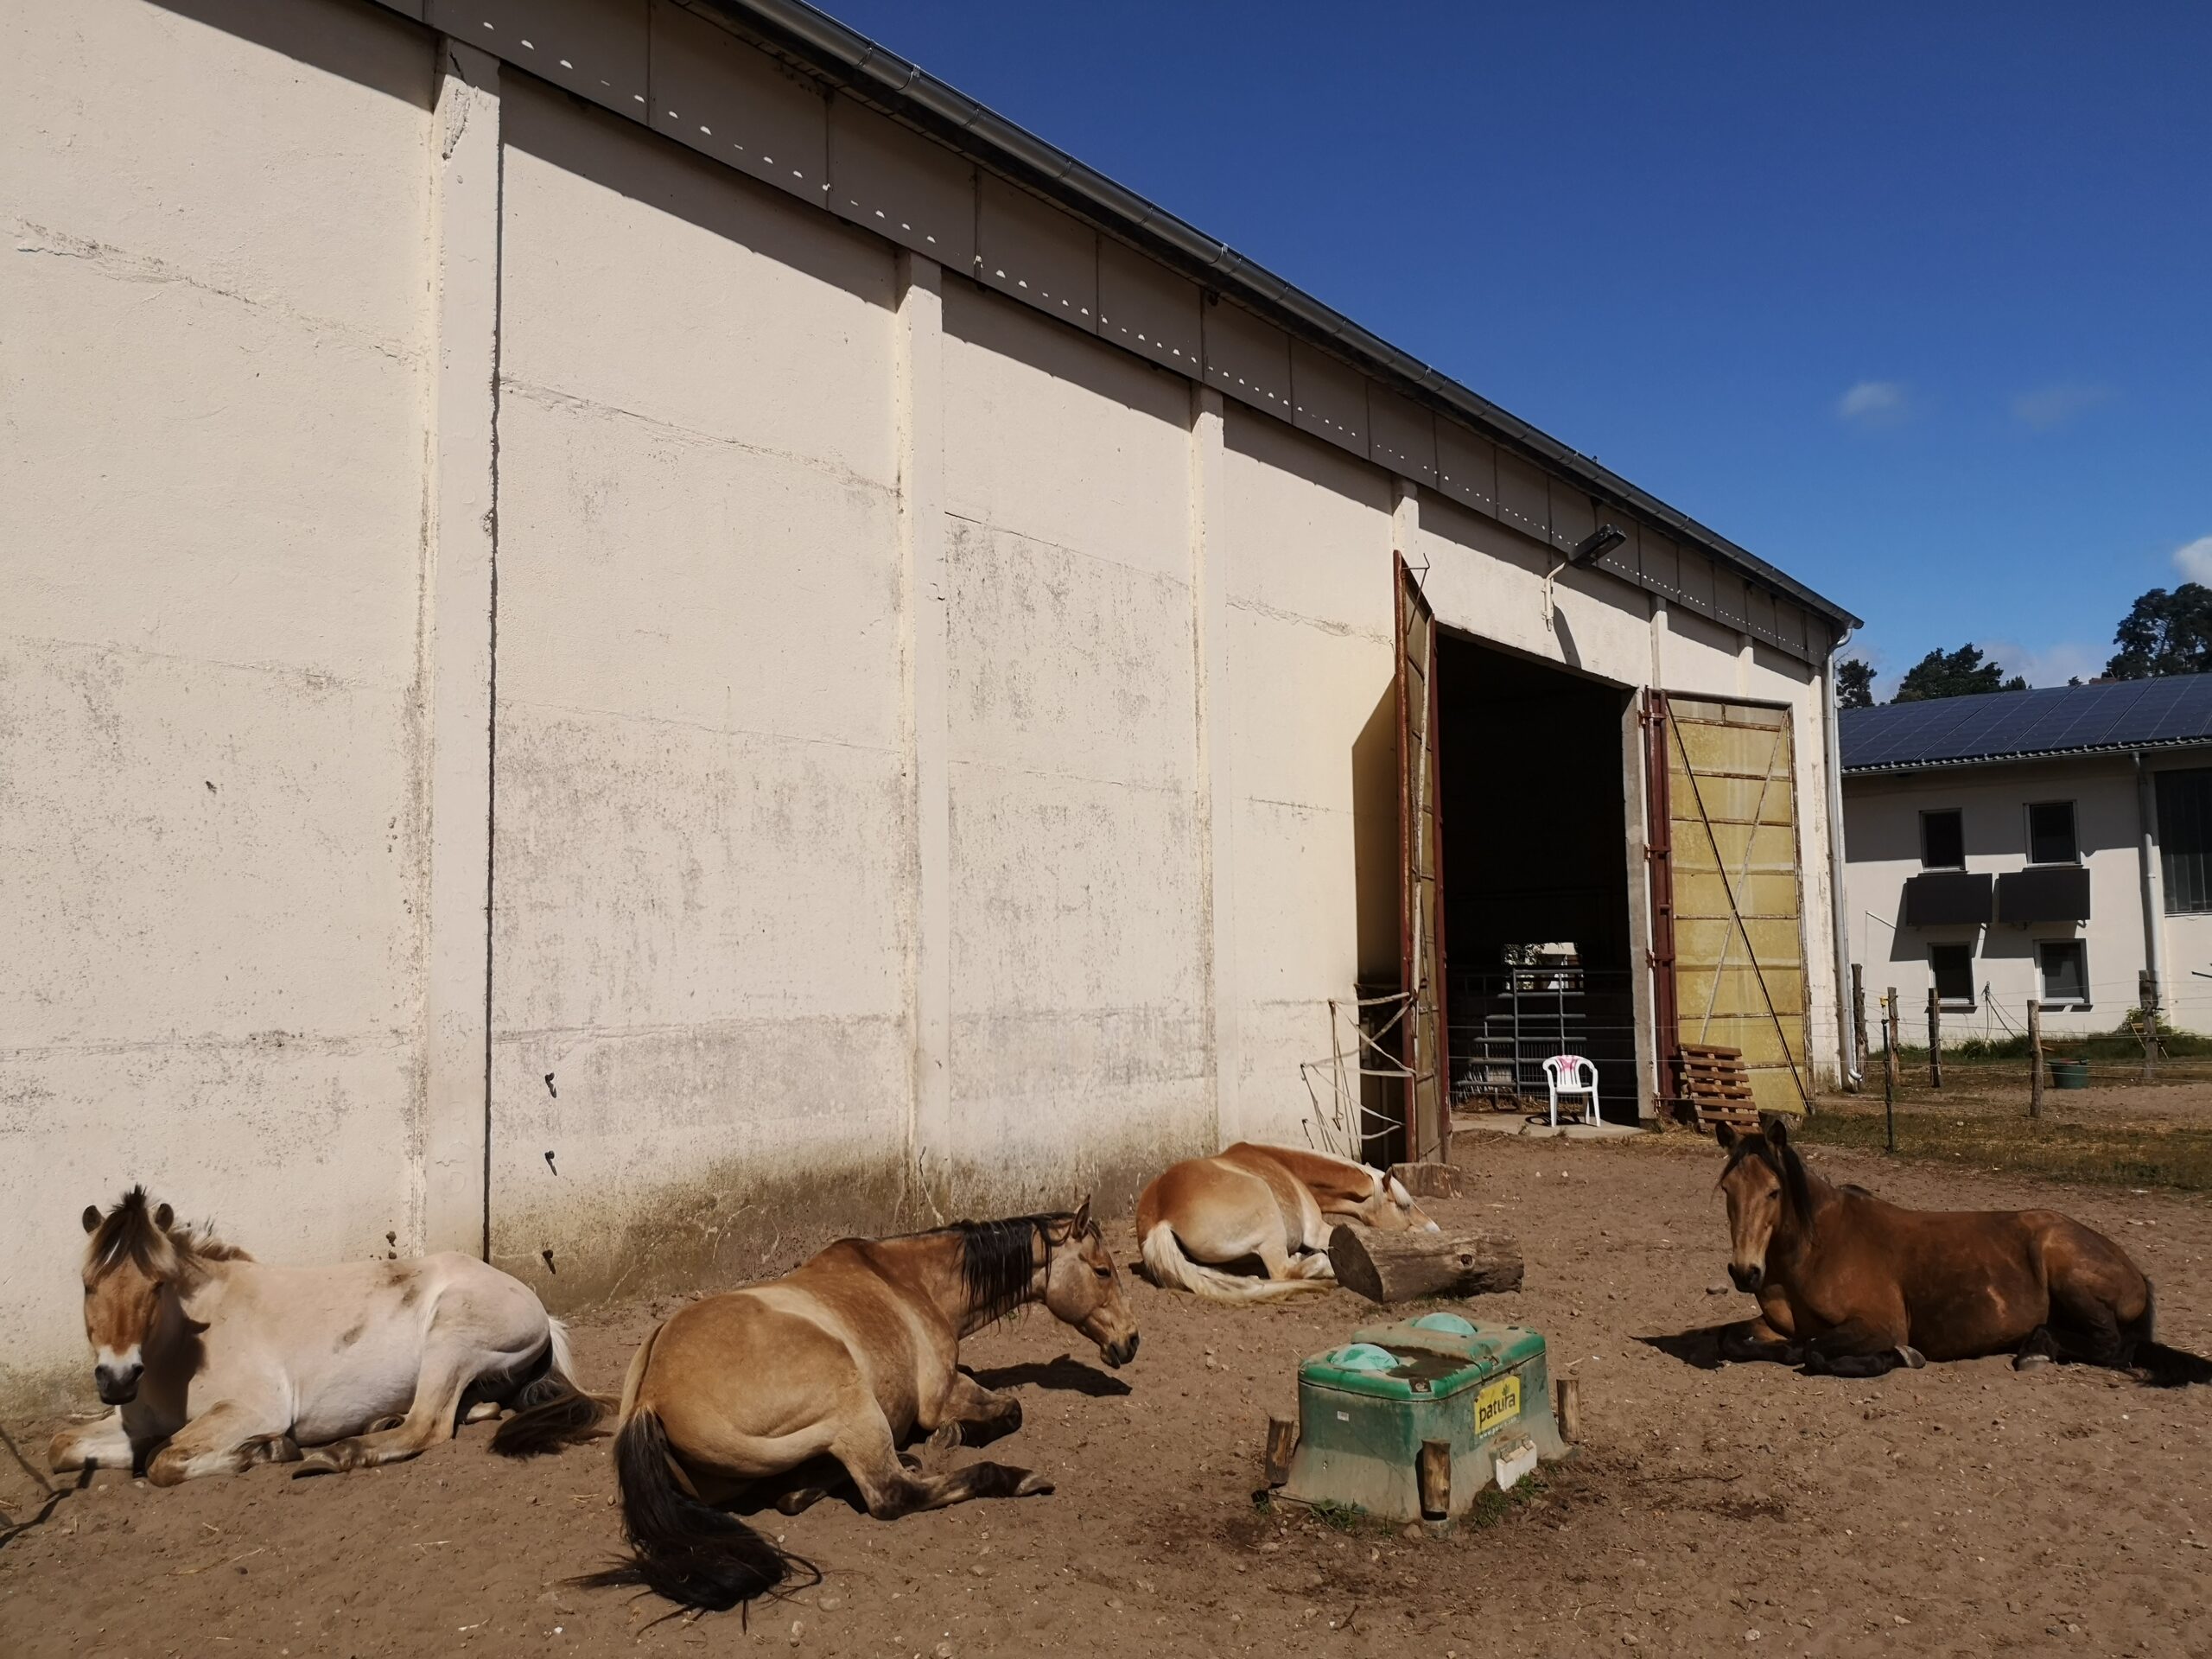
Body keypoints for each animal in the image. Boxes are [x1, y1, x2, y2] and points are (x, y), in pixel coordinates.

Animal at [49, 1187, 601, 1484]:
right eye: (87, 1283)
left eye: (157, 1285)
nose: (117, 1380)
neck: (185, 1348)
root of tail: (538, 1308)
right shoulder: (135, 1421)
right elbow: (63, 1446)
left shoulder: (252, 1410)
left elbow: (164, 1460)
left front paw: (264, 1451)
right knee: (470, 1408)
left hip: (451, 1339)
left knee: (427, 1425)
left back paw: (337, 1454)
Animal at [495, 1198, 1139, 1614]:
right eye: (1103, 1270)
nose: (1130, 1343)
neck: (913, 1282)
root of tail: (650, 1402)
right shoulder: (939, 1396)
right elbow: (1007, 1411)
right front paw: (951, 1438)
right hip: (852, 1402)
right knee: (889, 1494)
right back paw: (1008, 1476)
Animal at [1134, 1141, 1437, 1302]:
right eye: (1403, 1205)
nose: (1434, 1229)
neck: (1289, 1169)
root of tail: (1161, 1215)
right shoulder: (1317, 1231)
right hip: (1269, 1225)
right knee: (1284, 1271)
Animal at [1713, 1118, 2211, 1383]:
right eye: (1726, 1189)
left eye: (1774, 1192)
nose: (1744, 1272)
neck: (1817, 1250)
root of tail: (2134, 1271)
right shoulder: (1778, 1325)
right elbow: (1737, 1341)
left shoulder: (1879, 1324)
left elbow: (1817, 1351)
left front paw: (1896, 1357)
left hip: (2069, 1273)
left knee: (2112, 1346)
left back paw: (2037, 1350)